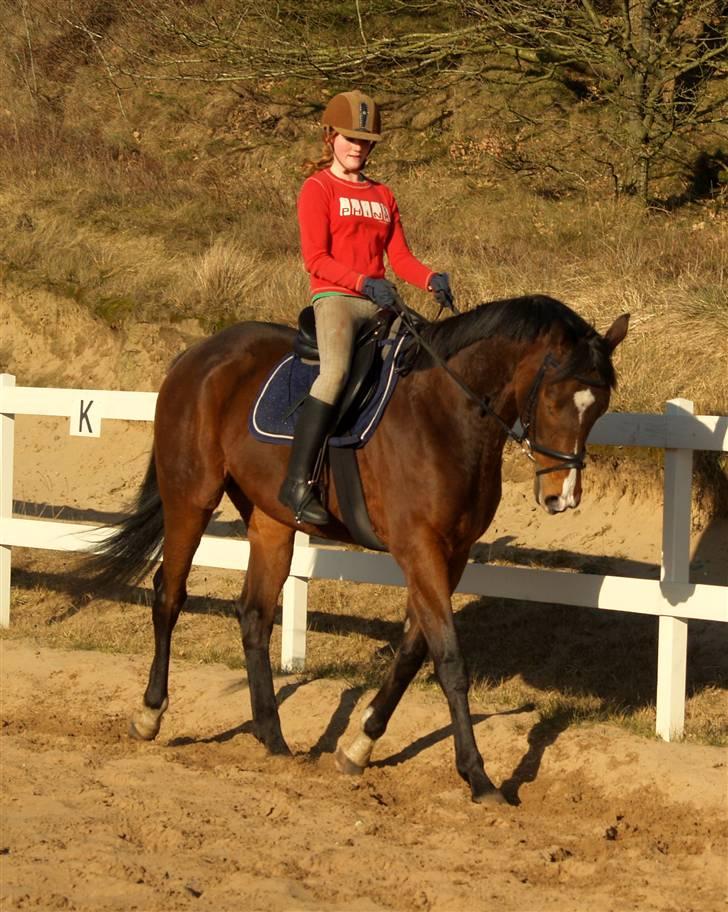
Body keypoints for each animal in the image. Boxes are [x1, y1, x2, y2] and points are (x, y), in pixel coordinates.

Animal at [89, 296, 624, 800]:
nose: (561, 497)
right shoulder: (420, 548)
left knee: (255, 614)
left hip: (271, 521)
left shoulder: (451, 554)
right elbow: (449, 659)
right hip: (190, 497)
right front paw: (478, 777)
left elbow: (412, 651)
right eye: (553, 399)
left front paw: (359, 747)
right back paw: (150, 714)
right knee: (169, 594)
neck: (444, 413)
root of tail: (199, 353)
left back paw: (272, 737)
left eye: (598, 408)